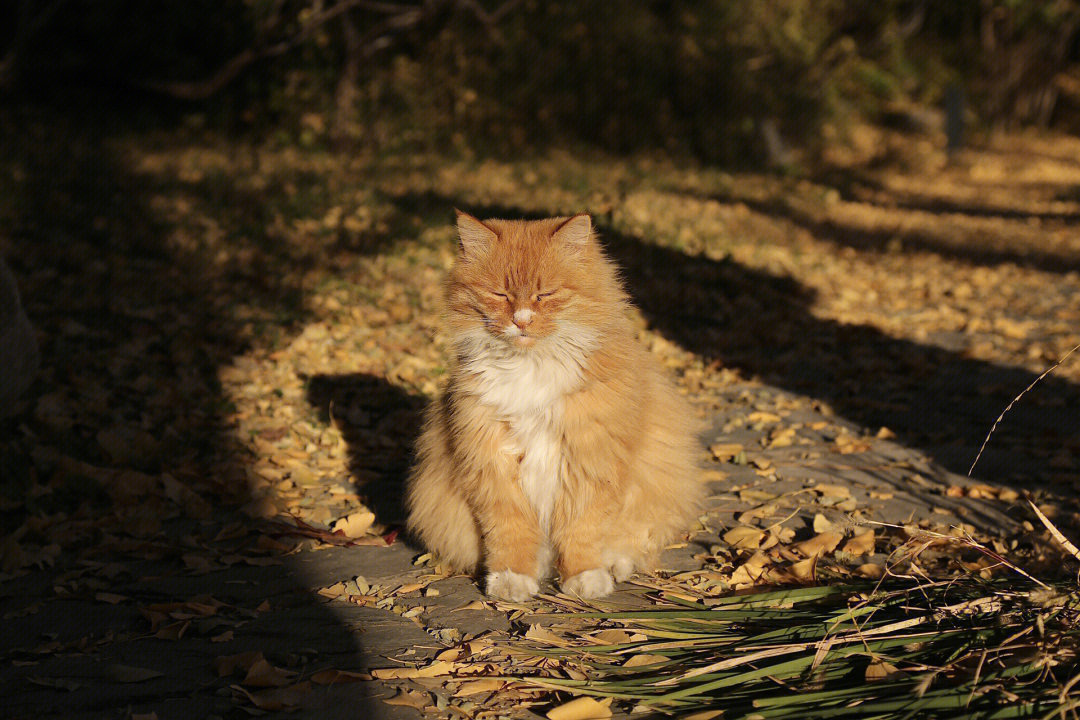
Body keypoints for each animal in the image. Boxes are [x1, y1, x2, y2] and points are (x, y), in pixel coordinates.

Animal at [403, 209, 699, 604]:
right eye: (500, 294)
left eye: (545, 294)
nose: (521, 320)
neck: (530, 365)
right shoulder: (492, 464)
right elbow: (510, 533)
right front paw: (511, 581)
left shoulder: (589, 459)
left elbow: (581, 530)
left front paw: (584, 578)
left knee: (634, 544)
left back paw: (614, 567)